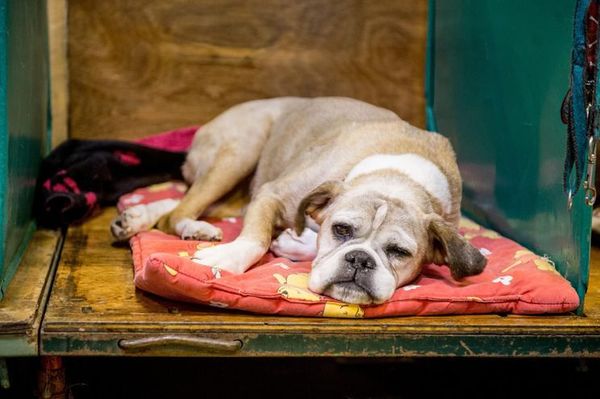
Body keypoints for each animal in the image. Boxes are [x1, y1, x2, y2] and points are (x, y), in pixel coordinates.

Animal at [111, 98, 488, 304]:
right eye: (341, 229)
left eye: (398, 252)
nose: (360, 260)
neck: (396, 178)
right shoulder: (272, 194)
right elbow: (255, 239)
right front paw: (227, 259)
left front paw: (295, 243)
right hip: (241, 151)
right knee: (181, 210)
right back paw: (191, 228)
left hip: (238, 189)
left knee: (183, 204)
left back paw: (138, 217)